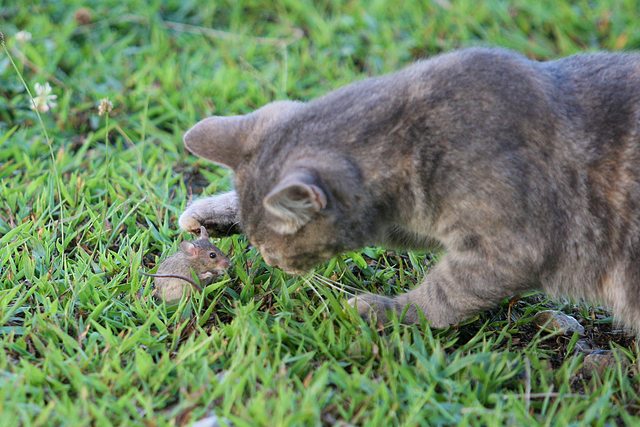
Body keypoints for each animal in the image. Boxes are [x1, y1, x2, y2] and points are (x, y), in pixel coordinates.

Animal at [178, 46, 640, 332]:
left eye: (272, 248)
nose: (273, 263)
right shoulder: (408, 219)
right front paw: (210, 216)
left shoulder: (507, 250)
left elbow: (445, 295)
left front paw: (388, 312)